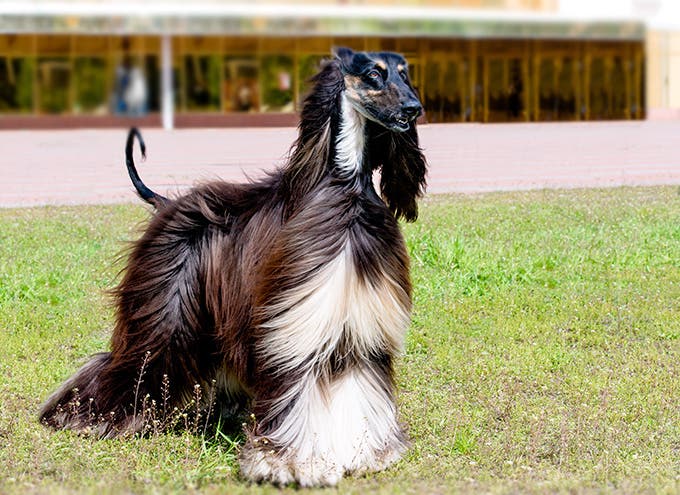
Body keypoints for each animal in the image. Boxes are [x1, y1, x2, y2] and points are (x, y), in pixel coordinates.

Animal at [39, 46, 424, 488]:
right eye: (374, 75)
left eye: (405, 73)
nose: (414, 108)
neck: (346, 193)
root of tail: (167, 203)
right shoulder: (296, 331)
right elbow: (299, 392)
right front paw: (289, 463)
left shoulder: (358, 330)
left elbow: (359, 387)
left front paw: (367, 453)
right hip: (165, 308)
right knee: (127, 360)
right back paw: (82, 416)